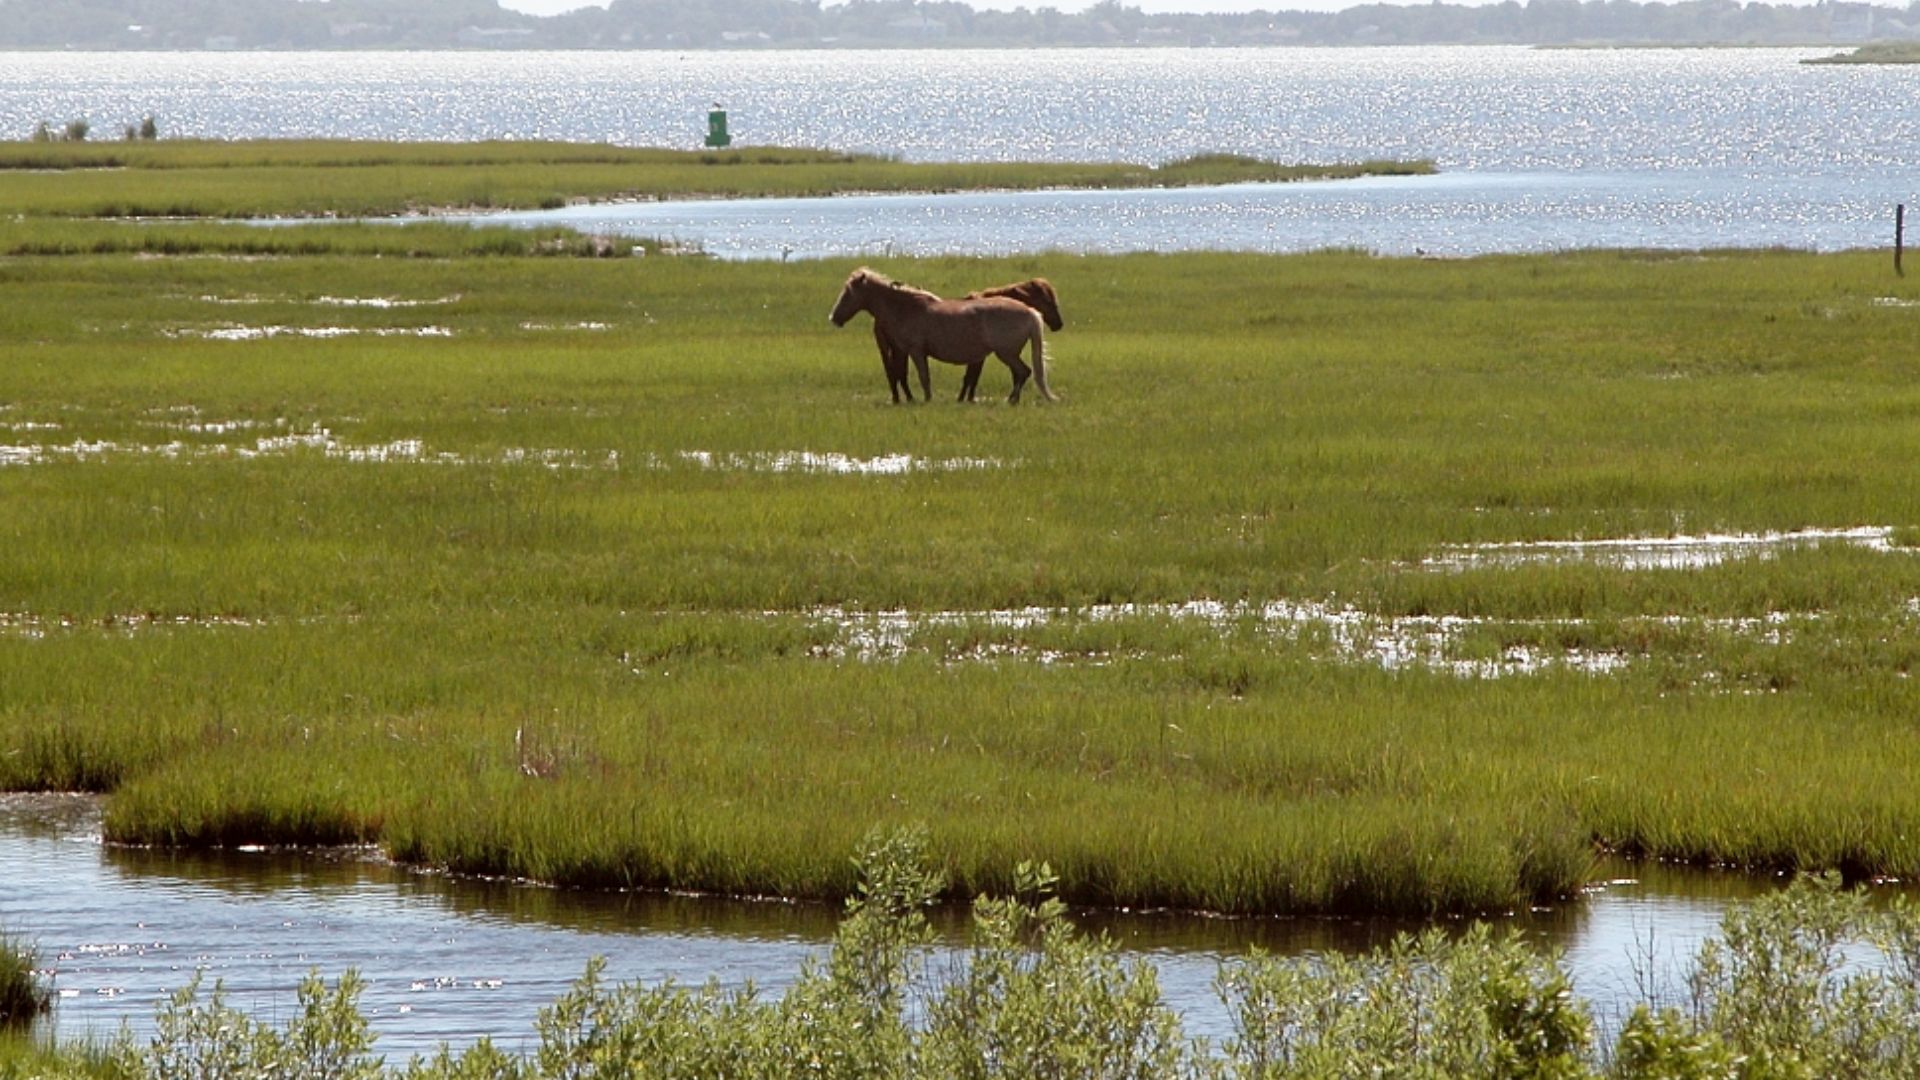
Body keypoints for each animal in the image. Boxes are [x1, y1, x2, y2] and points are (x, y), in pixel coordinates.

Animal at [830, 268, 1057, 404]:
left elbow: (924, 377)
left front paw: (927, 400)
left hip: (1006, 353)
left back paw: (1011, 400)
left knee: (1023, 372)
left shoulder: (916, 352)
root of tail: (1030, 312)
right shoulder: (909, 352)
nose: (834, 317)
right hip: (1009, 354)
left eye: (848, 292)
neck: (906, 308)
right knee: (1021, 373)